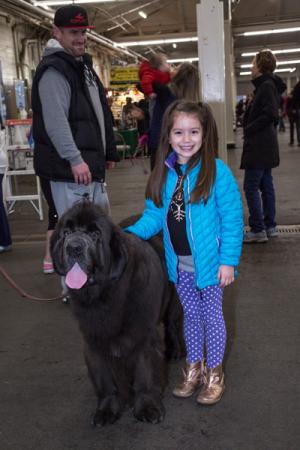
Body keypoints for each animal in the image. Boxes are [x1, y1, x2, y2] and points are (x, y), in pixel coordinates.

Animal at [51, 200, 183, 426]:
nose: (73, 247)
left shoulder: (143, 335)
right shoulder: (94, 338)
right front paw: (107, 410)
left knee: (172, 324)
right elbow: (105, 379)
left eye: (95, 234)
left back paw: (174, 352)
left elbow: (145, 372)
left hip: (174, 299)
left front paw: (148, 407)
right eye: (66, 232)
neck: (105, 295)